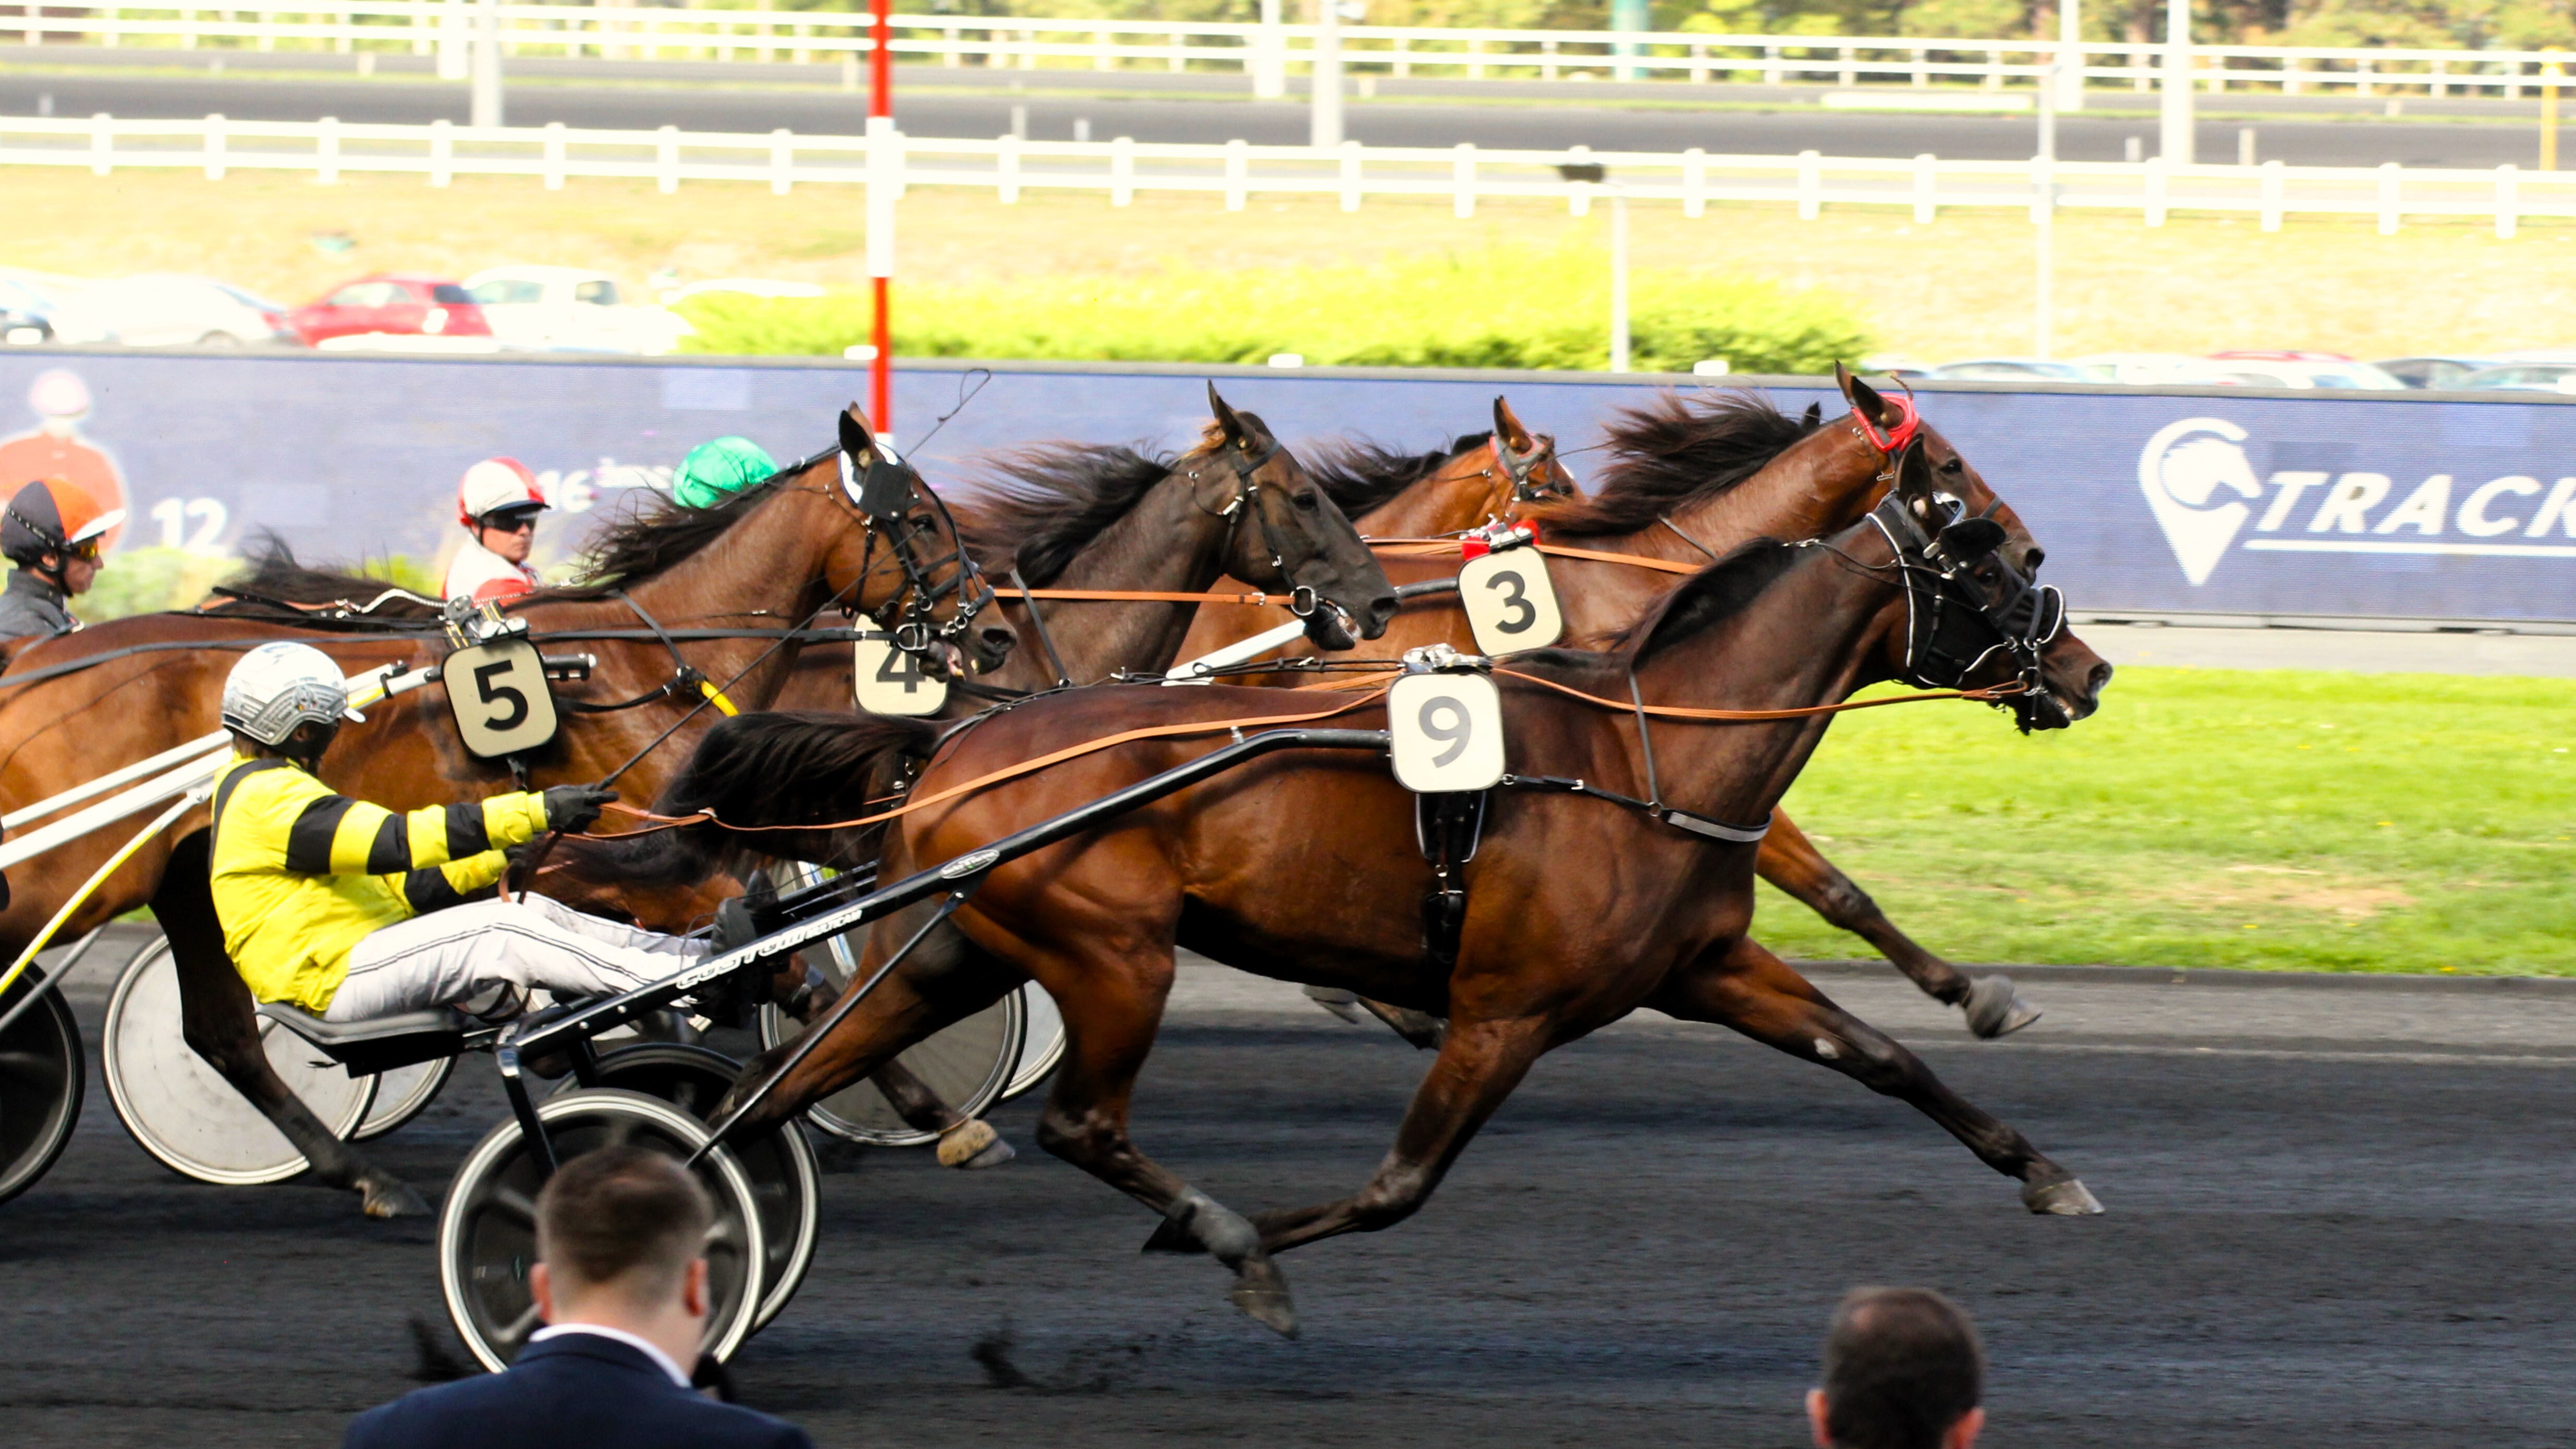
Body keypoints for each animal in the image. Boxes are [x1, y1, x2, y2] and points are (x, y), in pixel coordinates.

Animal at [0, 402, 1015, 1207]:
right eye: (923, 519)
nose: (995, 631)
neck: (648, 666)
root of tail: (35, 663)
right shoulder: (654, 863)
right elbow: (804, 974)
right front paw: (935, 1111)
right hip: (75, 870)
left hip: (183, 878)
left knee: (222, 1036)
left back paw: (364, 1176)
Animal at [597, 407, 2112, 1330]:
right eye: (1988, 549)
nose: (2088, 669)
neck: (1645, 744)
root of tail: (959, 741)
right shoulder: (1506, 1009)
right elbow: (1398, 1186)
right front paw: (1250, 1246)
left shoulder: (1705, 964)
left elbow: (1880, 1054)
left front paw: (2039, 1162)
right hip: (1113, 951)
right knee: (1077, 1122)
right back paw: (1213, 1227)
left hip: (963, 944)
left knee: (775, 1090)